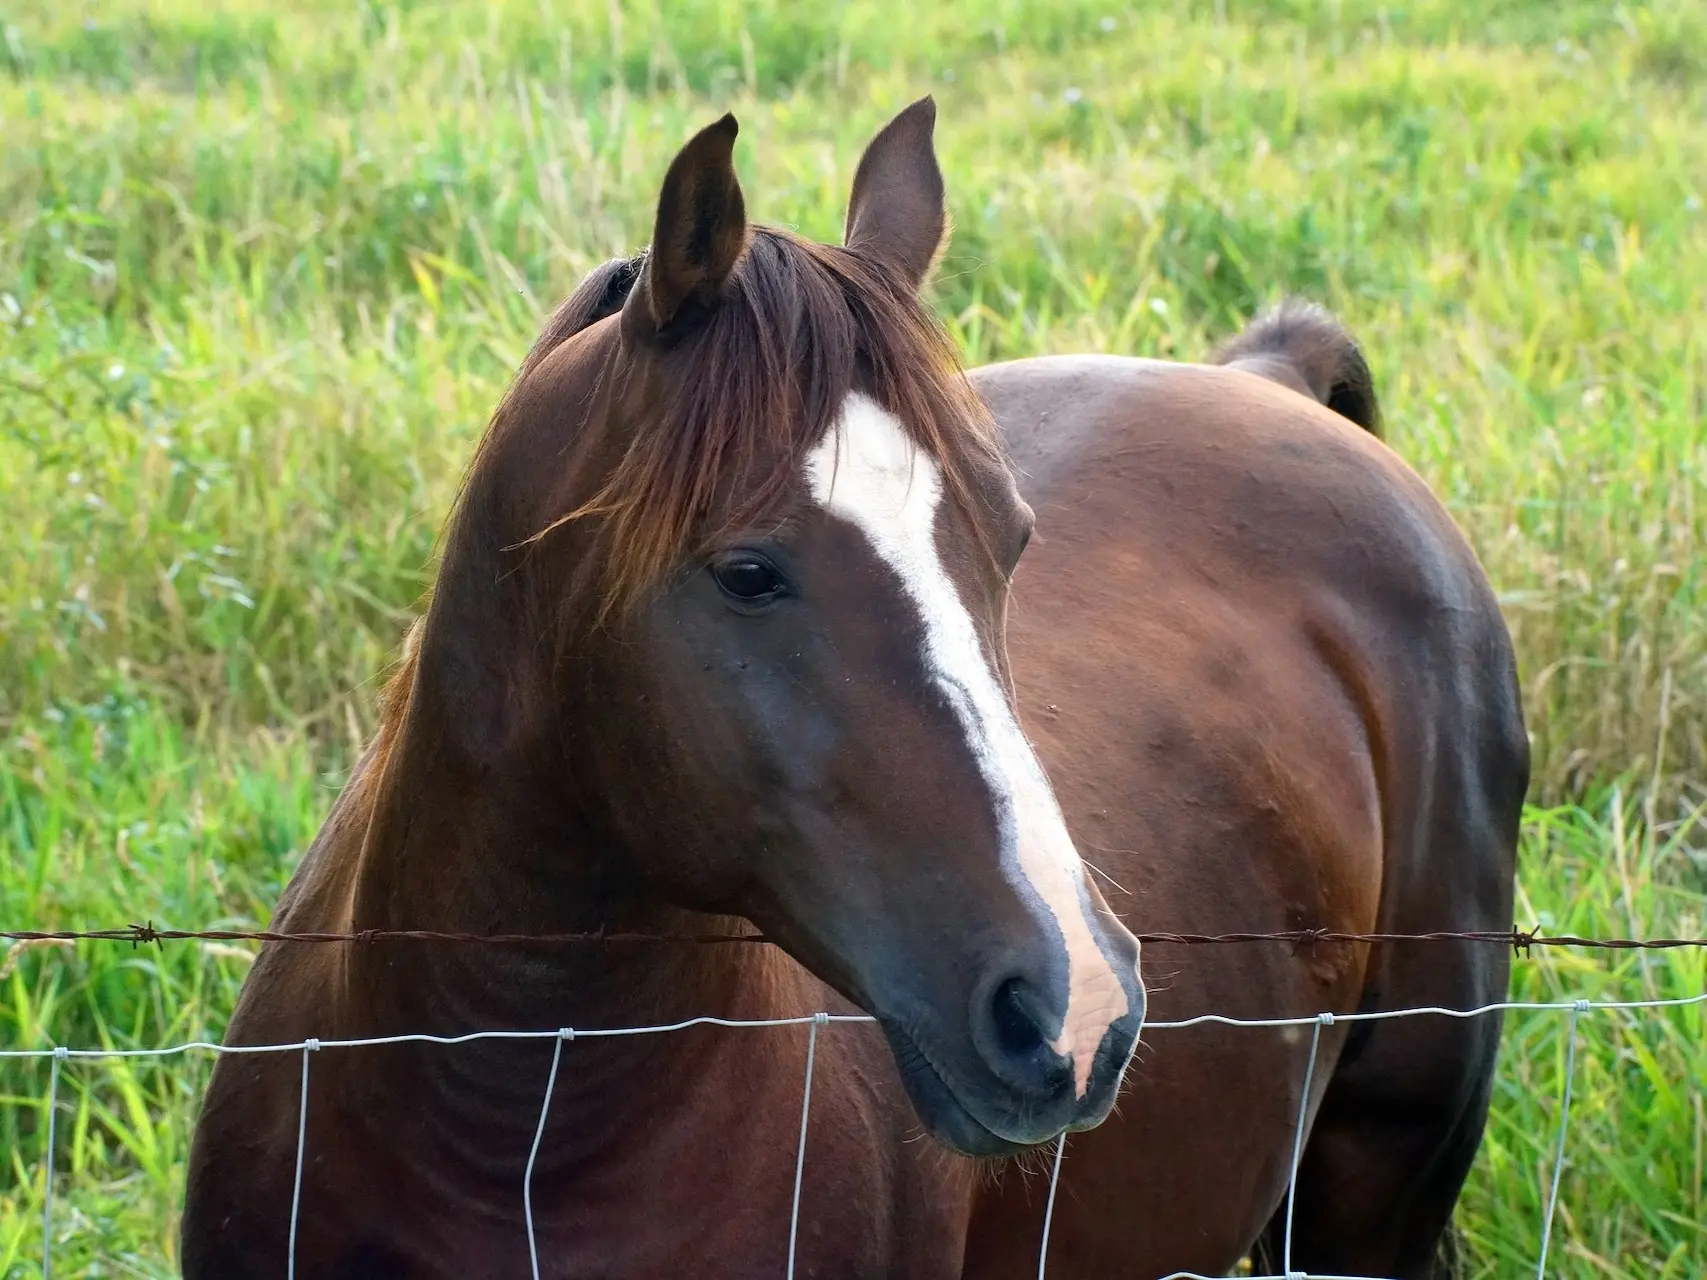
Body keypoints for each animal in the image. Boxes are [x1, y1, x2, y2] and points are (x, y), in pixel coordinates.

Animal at [180, 100, 1529, 1280]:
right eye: (747, 571)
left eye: (1013, 541)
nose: (1072, 1007)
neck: (512, 1126)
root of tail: (1270, 379)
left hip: (1374, 1186)